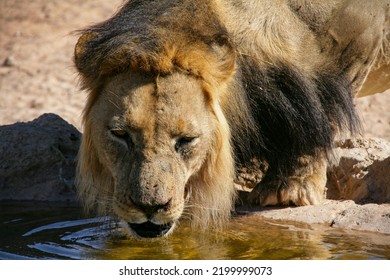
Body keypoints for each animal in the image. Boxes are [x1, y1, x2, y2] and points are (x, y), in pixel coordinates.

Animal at [74, 0, 390, 237]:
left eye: (187, 140)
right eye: (120, 135)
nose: (150, 208)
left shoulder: (358, 44)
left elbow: (323, 120)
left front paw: (289, 190)